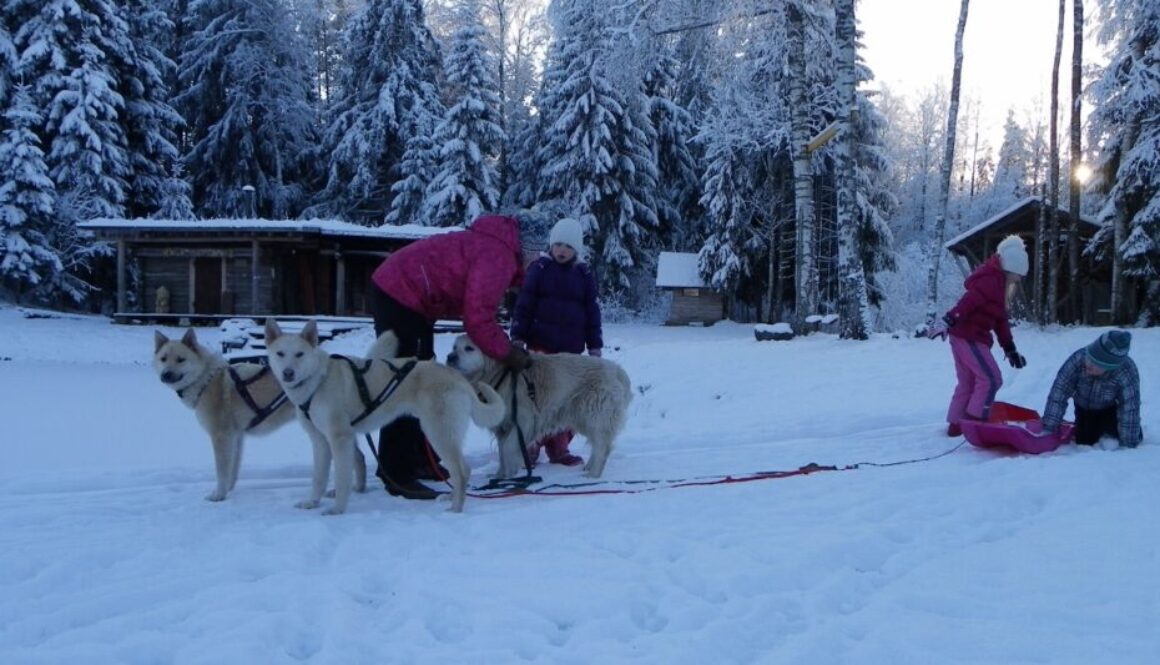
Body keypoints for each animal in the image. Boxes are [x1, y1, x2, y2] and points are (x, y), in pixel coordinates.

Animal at [151, 329, 296, 501]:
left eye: (181, 359)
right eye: (163, 359)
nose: (166, 374)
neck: (206, 380)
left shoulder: (221, 436)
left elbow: (221, 470)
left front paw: (218, 495)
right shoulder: (236, 436)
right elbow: (232, 469)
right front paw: (229, 490)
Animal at [265, 320, 505, 512]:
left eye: (300, 354)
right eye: (280, 354)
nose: (288, 373)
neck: (318, 380)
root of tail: (458, 377)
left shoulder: (339, 438)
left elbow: (342, 478)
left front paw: (337, 510)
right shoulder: (320, 441)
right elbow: (319, 478)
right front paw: (312, 502)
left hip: (438, 432)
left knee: (461, 471)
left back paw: (455, 508)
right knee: (463, 470)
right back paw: (450, 497)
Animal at [445, 334, 635, 480]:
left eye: (469, 348)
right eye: (454, 347)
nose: (450, 357)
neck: (501, 375)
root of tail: (618, 371)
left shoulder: (522, 421)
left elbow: (507, 449)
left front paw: (509, 476)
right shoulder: (503, 426)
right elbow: (501, 453)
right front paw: (500, 476)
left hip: (595, 415)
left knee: (602, 446)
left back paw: (593, 475)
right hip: (584, 417)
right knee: (598, 444)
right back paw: (589, 467)